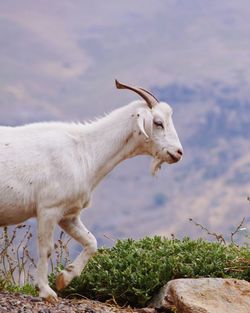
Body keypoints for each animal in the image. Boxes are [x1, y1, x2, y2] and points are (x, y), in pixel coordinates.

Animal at [0, 80, 184, 300]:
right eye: (158, 122)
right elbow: (46, 249)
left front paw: (64, 278)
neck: (85, 151)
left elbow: (91, 242)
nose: (178, 152)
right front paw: (47, 291)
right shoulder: (49, 208)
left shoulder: (68, 214)